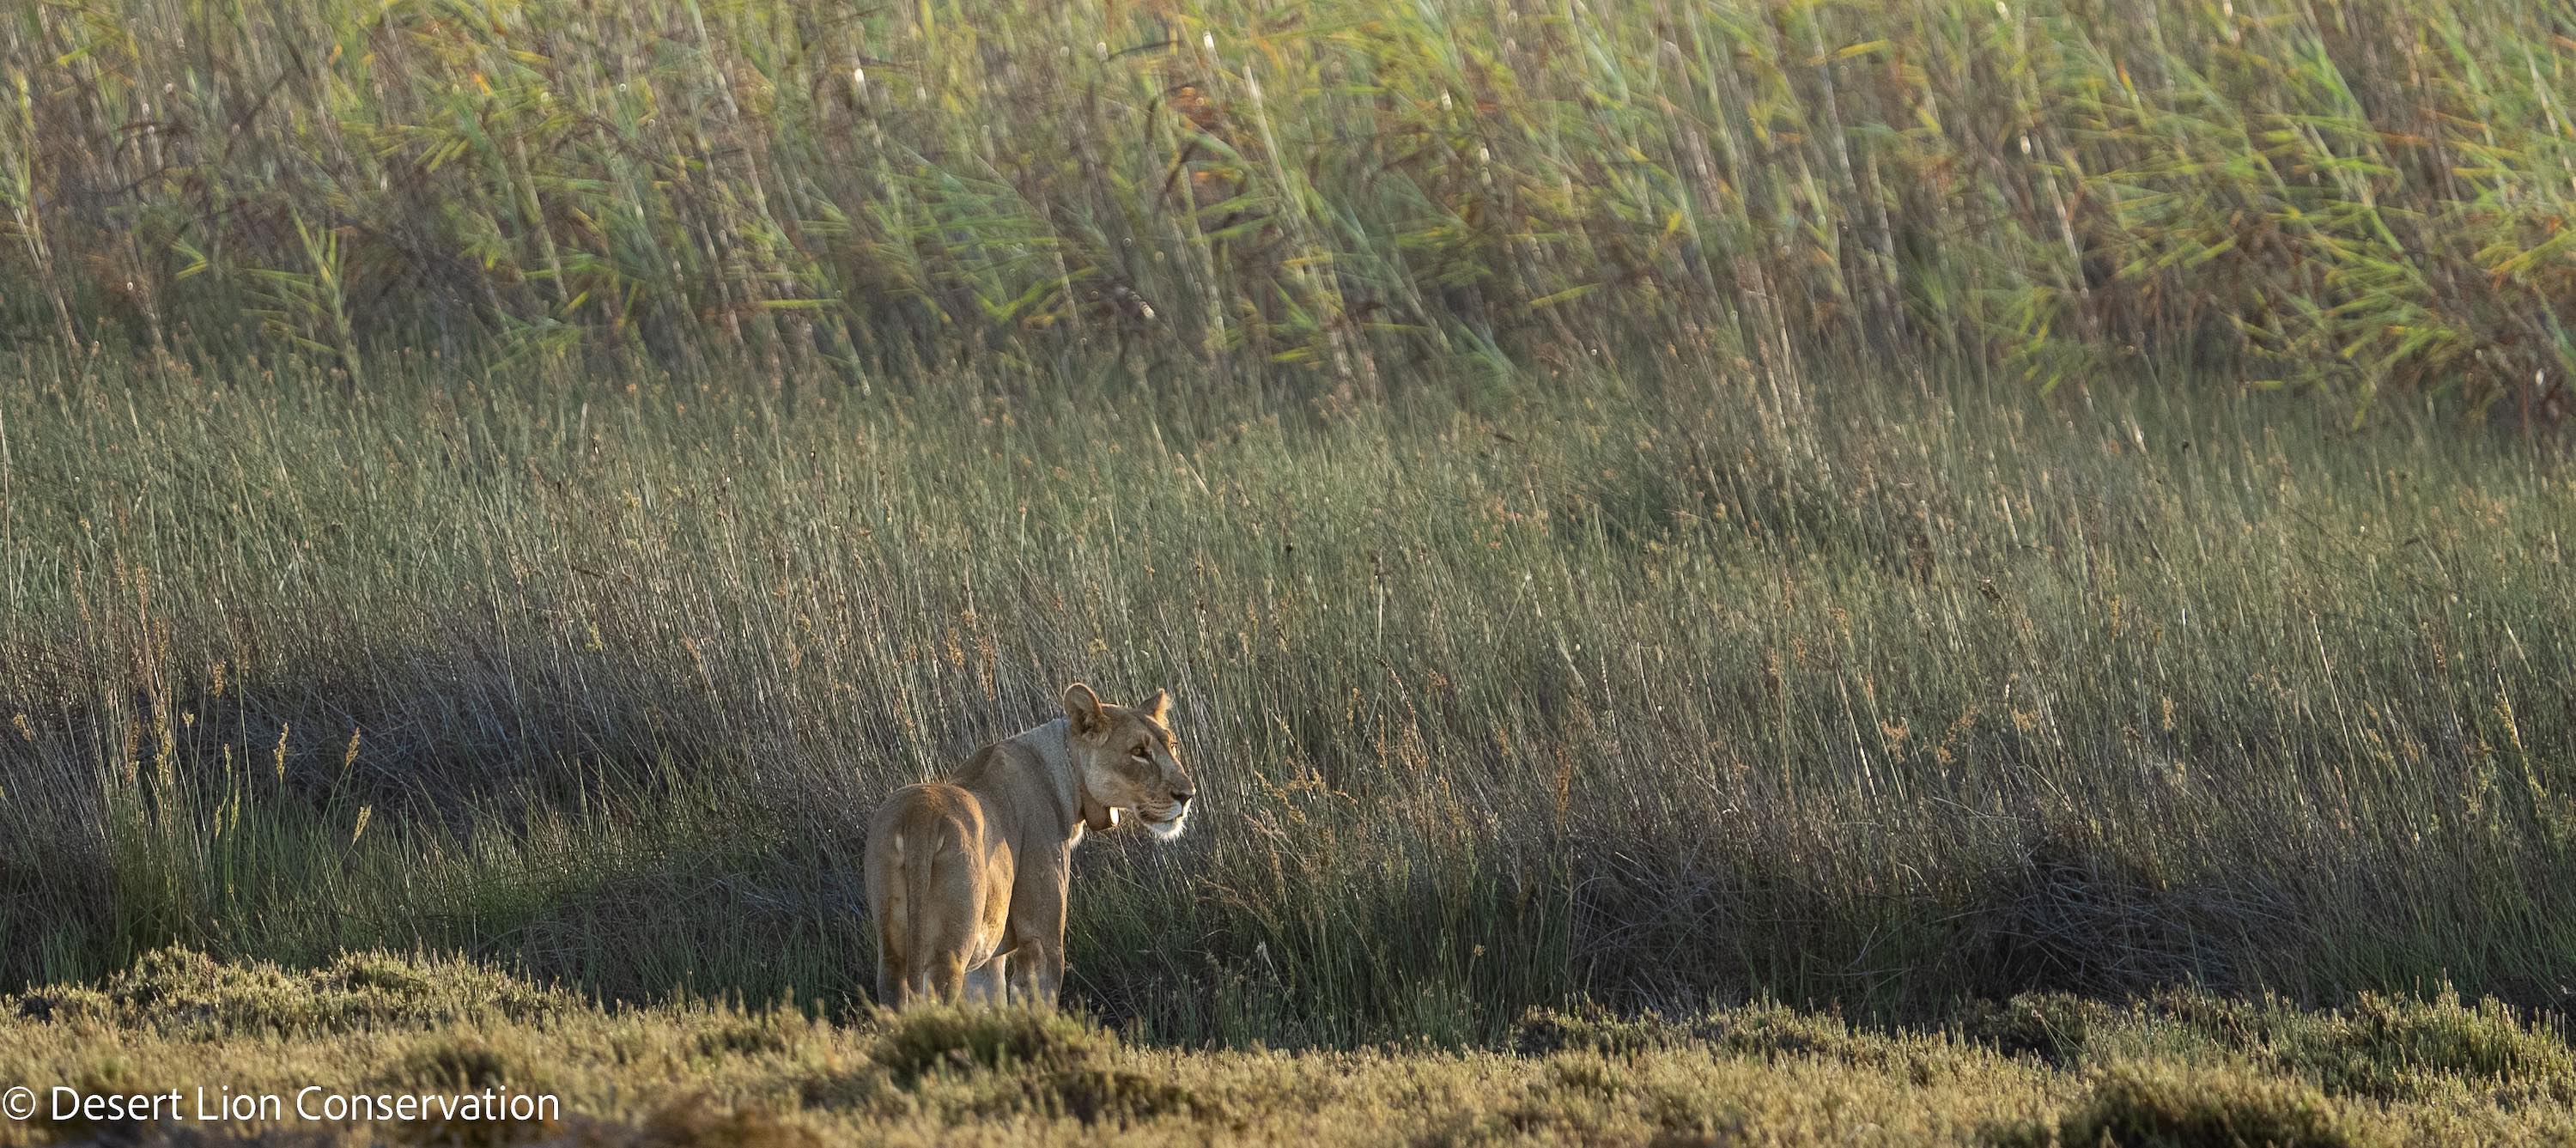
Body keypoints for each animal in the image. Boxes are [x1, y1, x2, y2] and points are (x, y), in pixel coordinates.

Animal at [864, 683, 1196, 1009]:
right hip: (949, 955)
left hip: (892, 957)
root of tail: (919, 815)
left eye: (1172, 745)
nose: (1187, 795)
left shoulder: (989, 958)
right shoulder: (1041, 939)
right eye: (1139, 752)